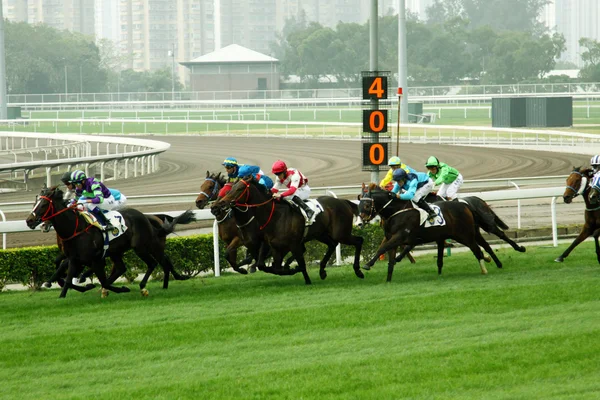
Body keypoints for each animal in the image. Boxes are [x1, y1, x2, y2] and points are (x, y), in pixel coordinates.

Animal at [26, 187, 195, 296]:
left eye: (43, 204)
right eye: (34, 203)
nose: (29, 221)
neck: (75, 228)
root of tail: (146, 216)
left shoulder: (93, 259)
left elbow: (99, 280)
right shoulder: (75, 258)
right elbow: (65, 278)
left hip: (142, 246)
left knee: (156, 262)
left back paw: (147, 285)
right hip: (118, 251)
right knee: (123, 267)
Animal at [211, 177, 364, 284]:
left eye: (239, 189)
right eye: (230, 189)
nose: (217, 206)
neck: (275, 217)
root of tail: (344, 202)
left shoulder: (293, 244)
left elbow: (299, 263)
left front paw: (306, 279)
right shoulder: (273, 246)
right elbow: (272, 267)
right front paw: (290, 269)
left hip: (341, 233)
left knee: (359, 241)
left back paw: (358, 271)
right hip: (322, 234)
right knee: (333, 245)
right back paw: (322, 271)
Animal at [358, 187, 494, 282]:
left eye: (367, 205)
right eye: (358, 205)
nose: (360, 222)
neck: (397, 211)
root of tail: (465, 205)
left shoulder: (400, 236)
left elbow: (383, 248)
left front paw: (367, 265)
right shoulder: (391, 237)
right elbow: (387, 256)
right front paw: (387, 280)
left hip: (464, 235)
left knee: (477, 249)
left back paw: (484, 269)